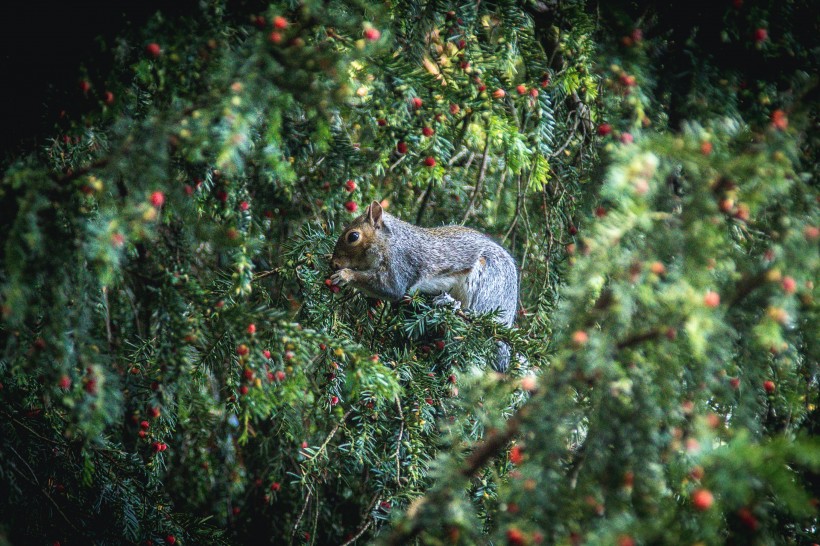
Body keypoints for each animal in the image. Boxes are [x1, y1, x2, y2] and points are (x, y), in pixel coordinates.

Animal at [328, 200, 516, 370]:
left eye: (353, 236)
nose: (334, 263)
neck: (389, 241)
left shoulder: (400, 265)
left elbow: (390, 288)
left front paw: (345, 275)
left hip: (487, 281)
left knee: (474, 315)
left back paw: (450, 303)